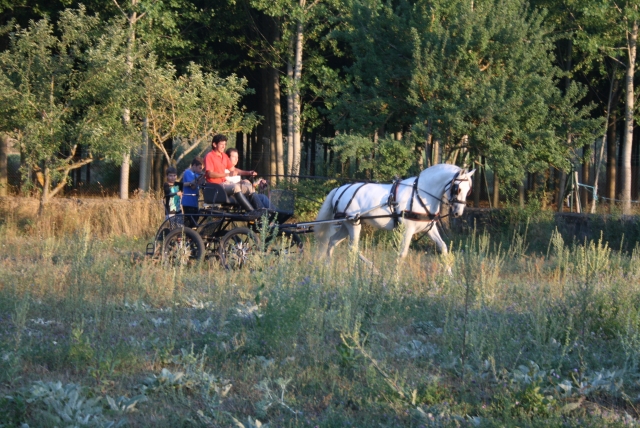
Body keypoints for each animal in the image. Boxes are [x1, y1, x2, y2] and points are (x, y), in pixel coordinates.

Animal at [314, 164, 475, 259]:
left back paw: (327, 269)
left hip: (346, 225)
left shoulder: (428, 228)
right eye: (457, 189)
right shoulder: (407, 229)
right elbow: (402, 254)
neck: (420, 193)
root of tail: (340, 189)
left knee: (332, 242)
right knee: (352, 248)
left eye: (469, 190)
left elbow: (443, 247)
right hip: (353, 224)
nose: (458, 212)